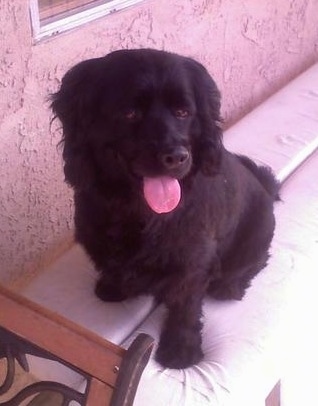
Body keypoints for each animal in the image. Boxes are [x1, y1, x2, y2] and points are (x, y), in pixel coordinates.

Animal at [51, 49, 278, 370]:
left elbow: (186, 306)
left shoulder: (192, 262)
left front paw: (181, 349)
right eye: (130, 113)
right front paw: (113, 287)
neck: (137, 211)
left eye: (183, 112)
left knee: (254, 262)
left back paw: (230, 285)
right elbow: (114, 265)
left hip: (255, 235)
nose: (176, 156)